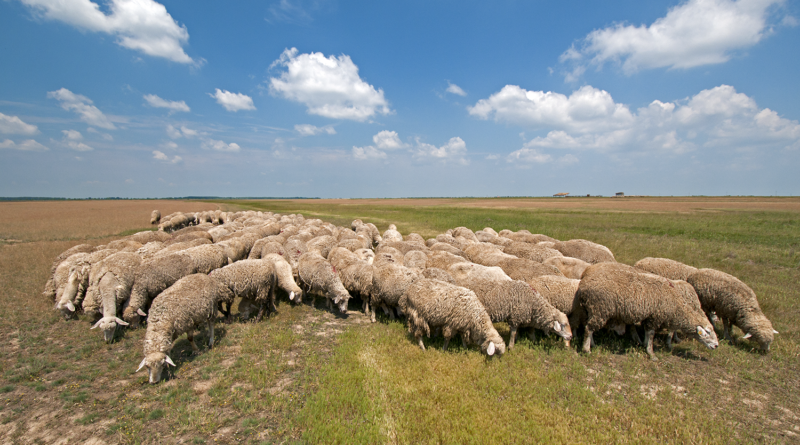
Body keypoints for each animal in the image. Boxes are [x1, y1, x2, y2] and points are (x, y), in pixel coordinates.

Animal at [576, 262, 720, 360]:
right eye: (707, 332)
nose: (716, 346)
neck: (675, 304)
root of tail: (585, 280)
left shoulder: (649, 316)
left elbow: (647, 333)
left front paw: (644, 344)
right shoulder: (655, 317)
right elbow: (651, 334)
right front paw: (651, 353)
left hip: (594, 310)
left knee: (589, 327)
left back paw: (592, 344)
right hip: (600, 310)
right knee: (589, 329)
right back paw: (586, 349)